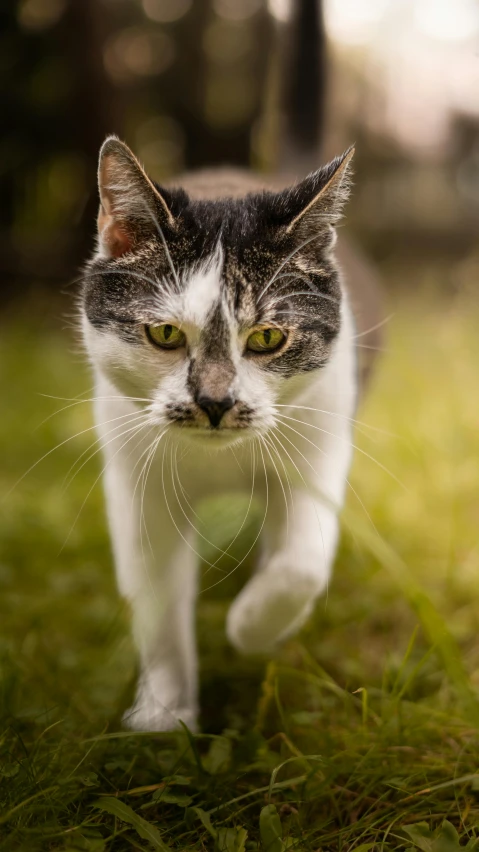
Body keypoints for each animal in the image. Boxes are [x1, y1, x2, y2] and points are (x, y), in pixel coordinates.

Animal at [79, 3, 382, 732]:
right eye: (164, 333)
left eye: (268, 337)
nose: (214, 402)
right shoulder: (138, 490)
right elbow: (158, 608)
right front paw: (164, 716)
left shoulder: (319, 449)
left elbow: (300, 566)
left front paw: (251, 629)